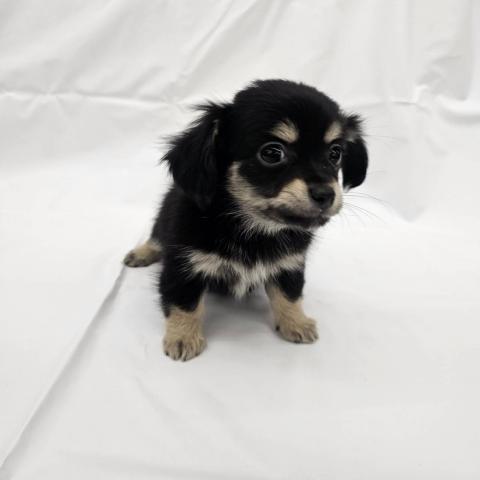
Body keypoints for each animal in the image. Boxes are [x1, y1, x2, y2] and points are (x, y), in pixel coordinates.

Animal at [124, 79, 368, 361]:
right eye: (272, 153)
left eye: (335, 153)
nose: (326, 194)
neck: (253, 228)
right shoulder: (182, 267)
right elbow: (184, 303)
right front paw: (183, 338)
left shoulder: (290, 264)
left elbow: (290, 294)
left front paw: (296, 323)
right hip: (162, 221)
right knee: (155, 238)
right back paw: (140, 254)